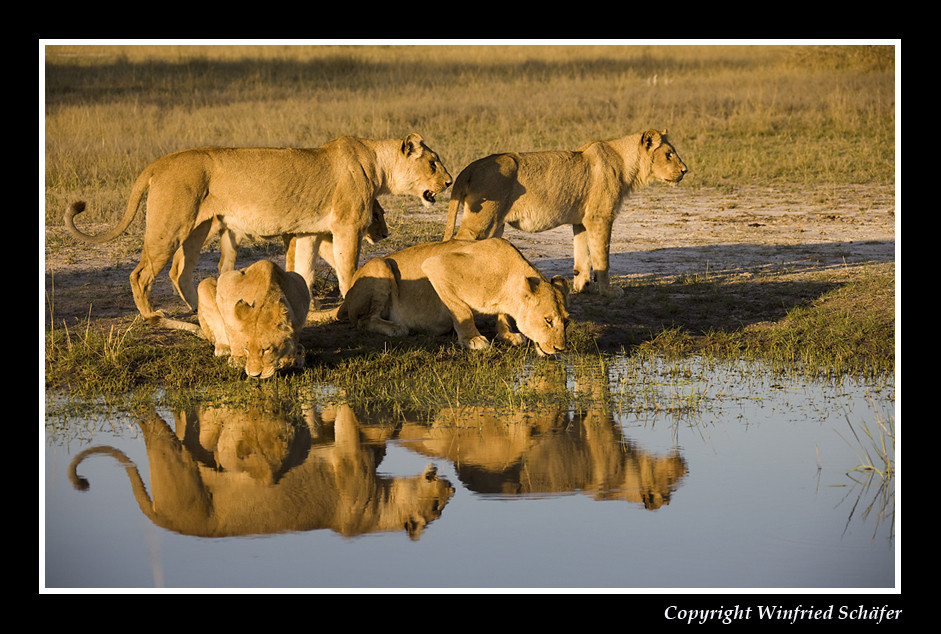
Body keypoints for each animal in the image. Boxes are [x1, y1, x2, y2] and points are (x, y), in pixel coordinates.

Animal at [64, 130, 450, 316]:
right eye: (433, 163)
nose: (448, 182)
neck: (377, 164)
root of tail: (158, 163)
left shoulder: (308, 231)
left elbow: (304, 268)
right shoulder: (346, 225)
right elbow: (347, 267)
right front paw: (347, 294)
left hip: (197, 227)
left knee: (179, 269)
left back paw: (197, 309)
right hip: (169, 224)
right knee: (141, 273)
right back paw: (150, 315)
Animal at [152, 258, 310, 378]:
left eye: (266, 349)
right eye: (246, 349)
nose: (254, 375)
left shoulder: (300, 284)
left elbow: (294, 336)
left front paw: (292, 356)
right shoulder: (226, 283)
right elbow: (231, 328)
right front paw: (238, 358)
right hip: (204, 284)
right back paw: (223, 347)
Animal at [334, 238, 564, 356]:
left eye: (567, 320)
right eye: (548, 320)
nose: (560, 349)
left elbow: (502, 315)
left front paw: (507, 334)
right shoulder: (436, 266)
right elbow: (461, 310)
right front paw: (473, 339)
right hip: (380, 264)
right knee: (363, 320)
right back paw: (395, 328)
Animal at [444, 130, 688, 298]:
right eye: (669, 154)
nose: (685, 171)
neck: (626, 163)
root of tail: (471, 166)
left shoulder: (582, 221)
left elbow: (583, 256)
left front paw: (584, 288)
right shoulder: (600, 217)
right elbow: (602, 258)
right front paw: (608, 292)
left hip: (495, 225)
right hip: (482, 220)